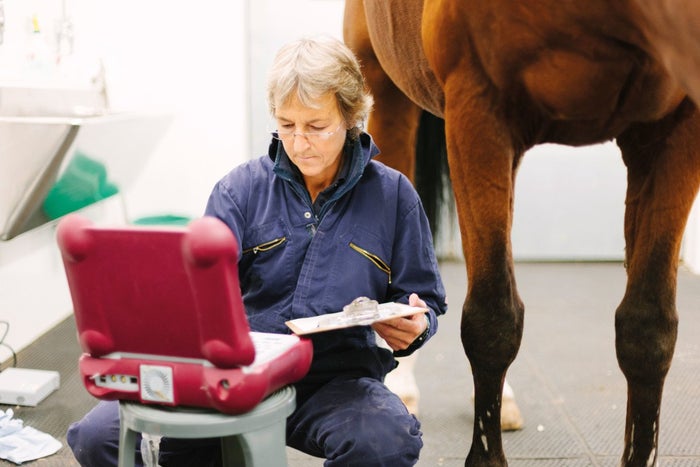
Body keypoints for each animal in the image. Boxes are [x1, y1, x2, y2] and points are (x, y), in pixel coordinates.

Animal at [344, 0, 700, 467]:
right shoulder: (478, 112)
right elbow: (492, 319)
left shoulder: (674, 133)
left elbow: (648, 329)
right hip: (387, 90)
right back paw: (403, 388)